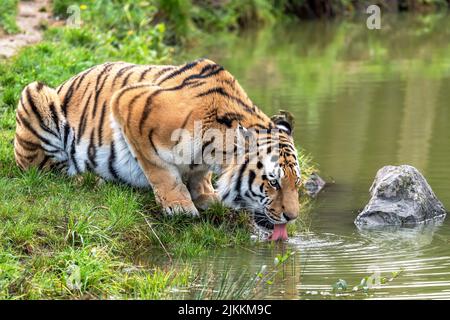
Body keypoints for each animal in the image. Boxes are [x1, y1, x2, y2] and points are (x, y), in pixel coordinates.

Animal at [14, 58, 302, 240]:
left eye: (296, 183)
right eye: (273, 182)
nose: (292, 217)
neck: (215, 149)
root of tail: (66, 82)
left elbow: (198, 174)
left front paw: (205, 195)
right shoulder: (130, 104)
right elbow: (162, 170)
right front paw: (180, 206)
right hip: (35, 94)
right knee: (49, 170)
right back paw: (91, 179)